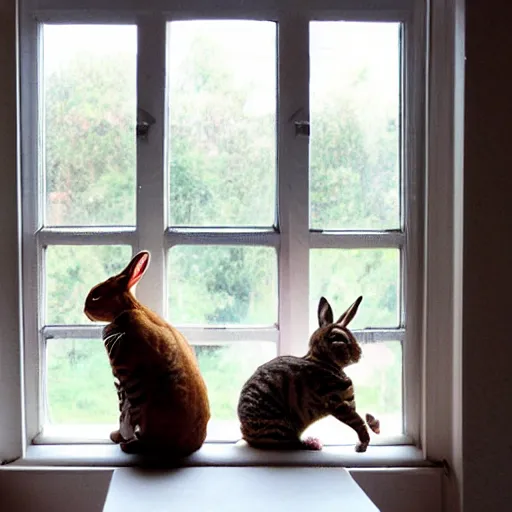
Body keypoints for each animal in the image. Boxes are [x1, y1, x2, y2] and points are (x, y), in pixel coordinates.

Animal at [83, 250, 210, 454]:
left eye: (96, 296)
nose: (84, 307)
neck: (131, 309)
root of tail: (191, 446)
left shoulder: (123, 377)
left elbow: (123, 413)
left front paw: (118, 436)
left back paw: (128, 445)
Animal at [238, 296, 378, 452]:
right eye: (339, 339)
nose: (359, 353)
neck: (323, 362)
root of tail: (245, 435)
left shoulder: (348, 403)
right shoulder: (338, 404)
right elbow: (359, 424)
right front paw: (363, 444)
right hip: (280, 425)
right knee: (289, 443)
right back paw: (311, 443)